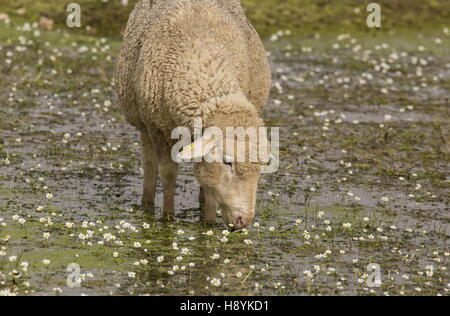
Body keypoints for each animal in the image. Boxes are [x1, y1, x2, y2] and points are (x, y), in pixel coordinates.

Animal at [115, 0, 270, 228]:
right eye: (228, 162)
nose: (244, 220)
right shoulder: (159, 128)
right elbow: (168, 174)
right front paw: (168, 217)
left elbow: (208, 181)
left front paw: (209, 221)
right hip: (143, 122)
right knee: (149, 165)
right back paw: (147, 203)